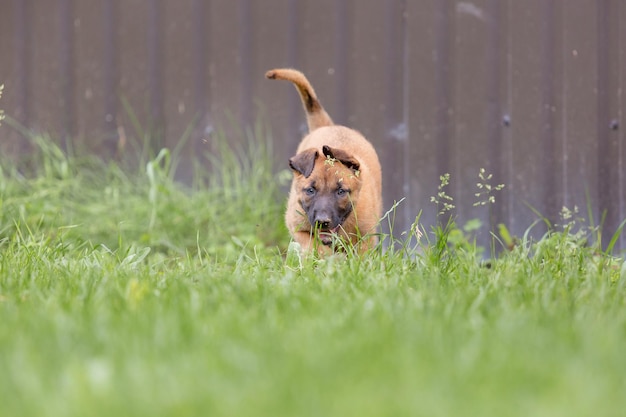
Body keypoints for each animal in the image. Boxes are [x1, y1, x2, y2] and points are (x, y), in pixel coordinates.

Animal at [264, 68, 380, 254]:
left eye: (341, 192)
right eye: (310, 190)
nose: (322, 221)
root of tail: (328, 126)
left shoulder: (366, 237)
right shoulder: (298, 228)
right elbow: (316, 248)